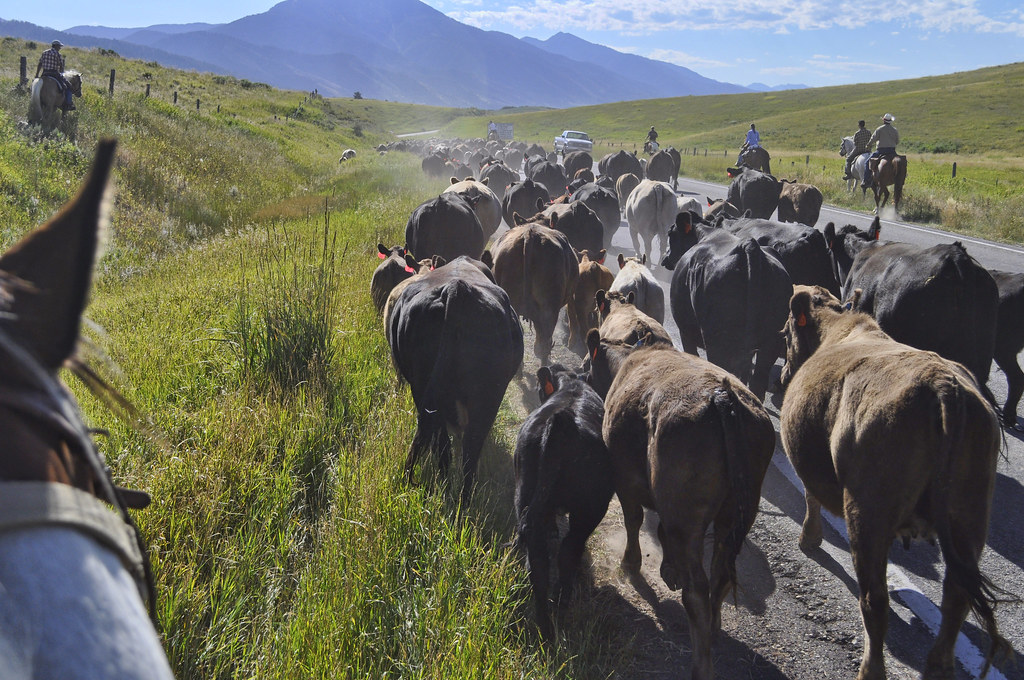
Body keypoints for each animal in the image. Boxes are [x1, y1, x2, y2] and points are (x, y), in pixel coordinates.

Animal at [387, 256, 524, 502]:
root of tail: (456, 289)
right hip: (487, 396)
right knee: (468, 450)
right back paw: (463, 498)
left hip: (425, 391)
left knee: (444, 444)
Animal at [515, 364, 614, 641]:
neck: (572, 385)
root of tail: (562, 423)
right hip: (590, 509)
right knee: (569, 549)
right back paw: (562, 603)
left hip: (524, 491)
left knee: (537, 558)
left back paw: (545, 626)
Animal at [585, 331, 775, 680]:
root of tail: (721, 395)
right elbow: (659, 530)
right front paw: (668, 568)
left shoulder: (625, 480)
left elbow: (634, 520)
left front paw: (631, 563)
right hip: (732, 516)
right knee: (720, 574)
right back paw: (712, 628)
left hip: (687, 518)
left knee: (697, 590)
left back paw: (701, 663)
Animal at [662, 211, 793, 400]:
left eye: (671, 234)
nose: (664, 258)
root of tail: (748, 245)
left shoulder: (685, 333)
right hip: (771, 342)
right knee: (757, 382)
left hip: (718, 342)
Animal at [779, 285, 1009, 680]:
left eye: (784, 332)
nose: (781, 375)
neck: (838, 329)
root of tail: (942, 385)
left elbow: (810, 497)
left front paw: (809, 538)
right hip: (970, 517)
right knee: (956, 597)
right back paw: (938, 665)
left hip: (868, 515)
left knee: (875, 600)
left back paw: (871, 668)